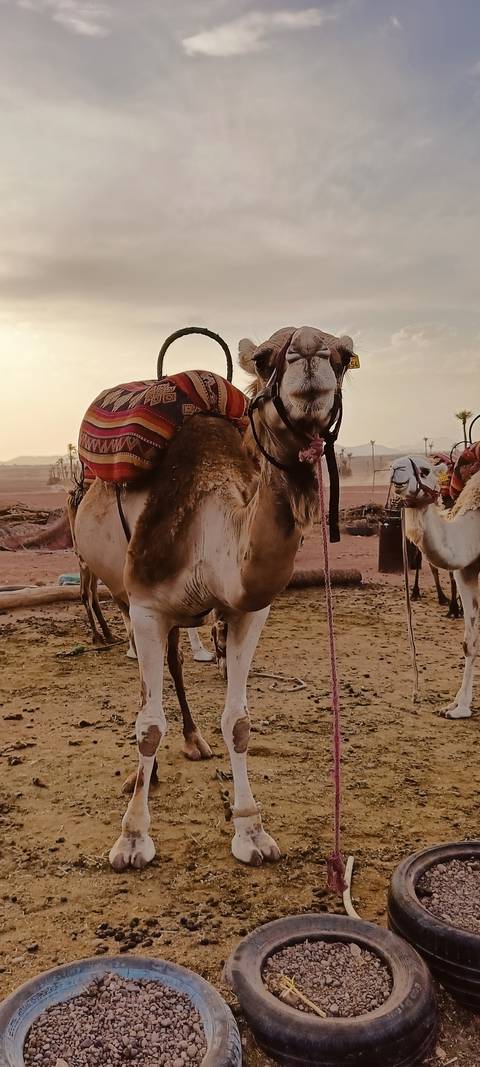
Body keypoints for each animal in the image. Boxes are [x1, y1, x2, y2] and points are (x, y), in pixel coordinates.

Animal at [74, 325, 355, 870]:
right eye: (266, 357)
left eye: (343, 355)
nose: (309, 349)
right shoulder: (146, 604)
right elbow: (147, 726)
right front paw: (132, 840)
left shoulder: (248, 610)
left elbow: (240, 722)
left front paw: (252, 832)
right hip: (119, 590)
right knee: (147, 678)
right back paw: (145, 772)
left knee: (173, 663)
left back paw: (191, 740)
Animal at [391, 455, 480, 719]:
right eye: (392, 465)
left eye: (425, 470)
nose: (396, 470)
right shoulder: (466, 570)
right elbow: (469, 642)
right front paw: (459, 706)